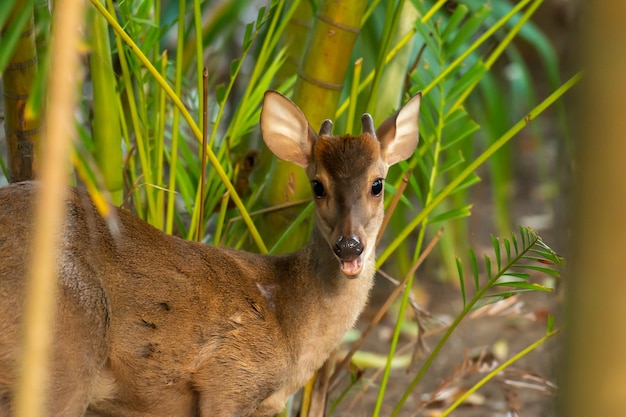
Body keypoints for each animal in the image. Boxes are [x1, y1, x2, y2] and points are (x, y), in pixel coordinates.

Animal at [0, 89, 422, 414]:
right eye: (317, 185)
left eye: (378, 183)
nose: (349, 245)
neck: (290, 325)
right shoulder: (228, 378)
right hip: (66, 348)